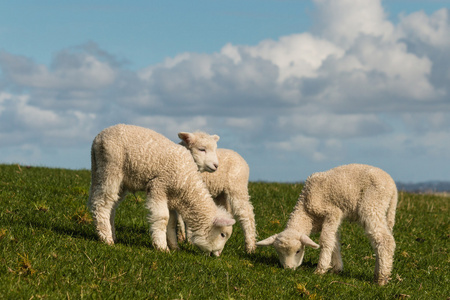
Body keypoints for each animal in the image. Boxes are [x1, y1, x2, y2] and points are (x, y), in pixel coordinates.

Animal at [88, 123, 236, 255]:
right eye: (222, 234)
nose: (218, 255)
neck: (187, 182)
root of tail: (98, 137)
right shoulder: (158, 186)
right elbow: (163, 218)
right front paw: (162, 247)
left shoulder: (171, 197)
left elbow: (172, 222)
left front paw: (174, 246)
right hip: (111, 168)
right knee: (102, 203)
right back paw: (106, 238)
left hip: (109, 175)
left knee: (110, 206)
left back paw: (111, 234)